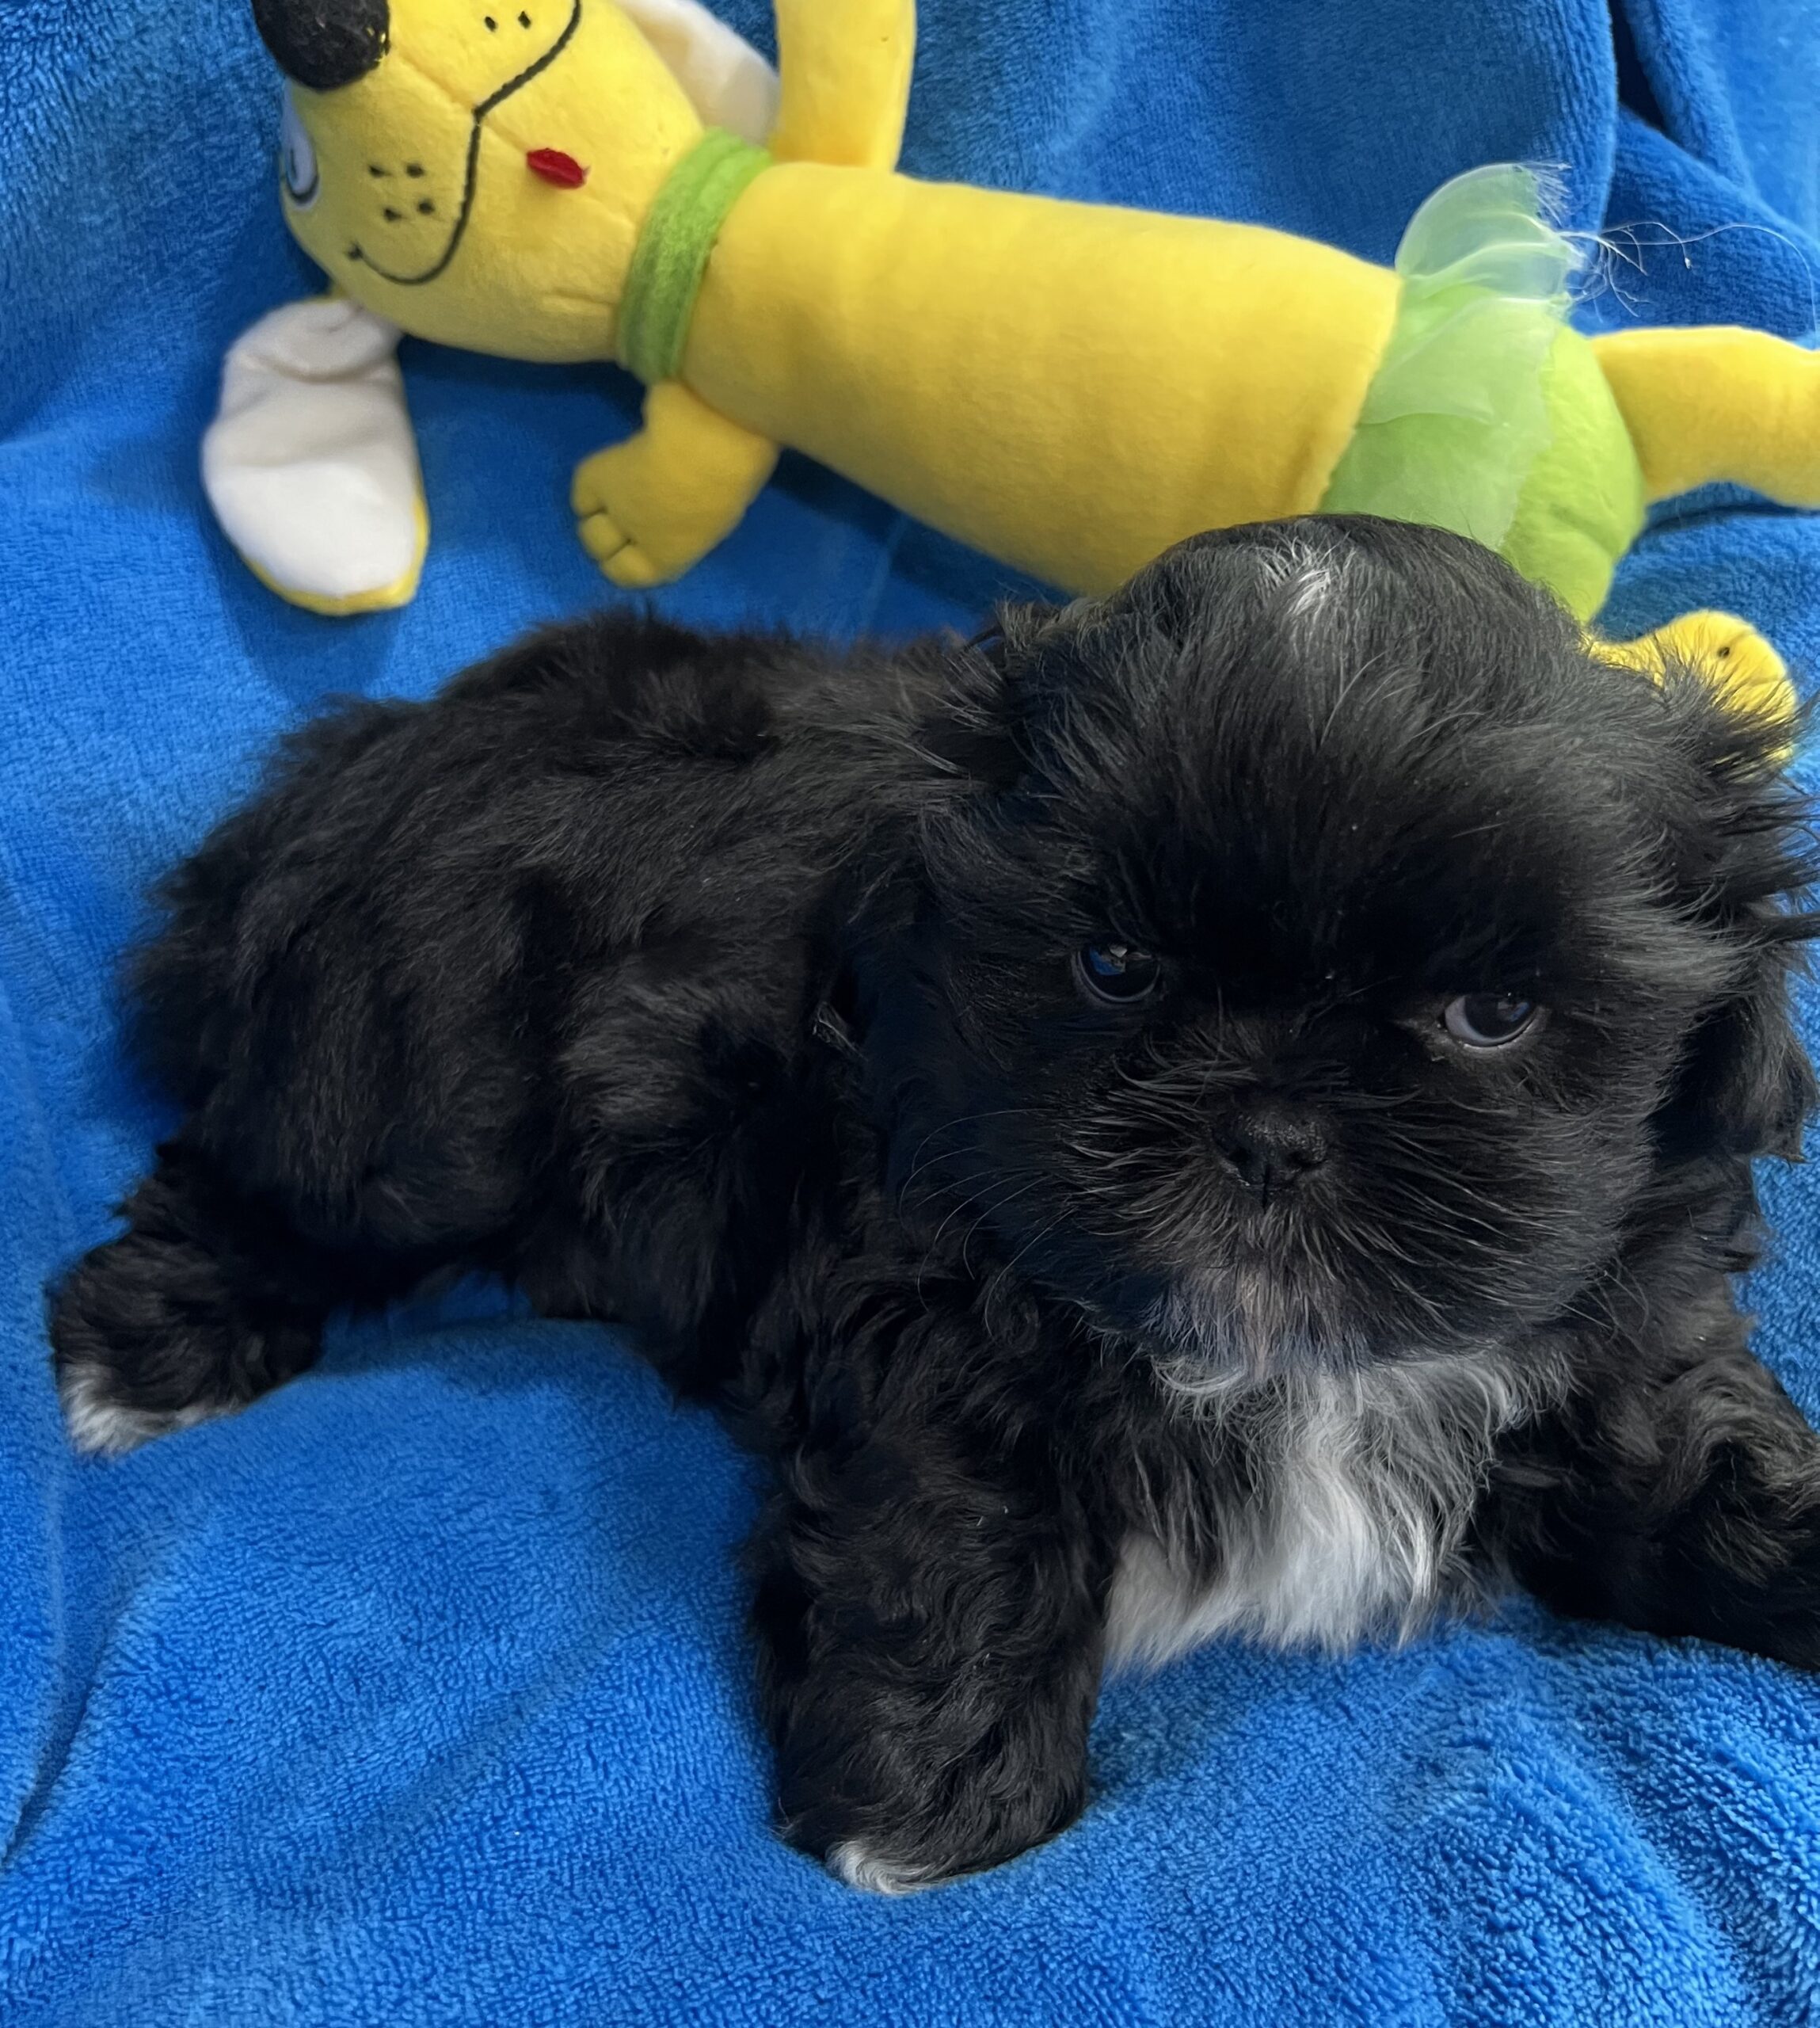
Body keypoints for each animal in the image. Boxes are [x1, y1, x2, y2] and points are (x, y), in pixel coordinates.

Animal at [51, 517, 1820, 1893]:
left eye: (1492, 1014)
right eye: (1110, 966)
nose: (1268, 1126)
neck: (1290, 1366)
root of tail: (368, 754)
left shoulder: (1619, 1341)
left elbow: (1697, 1465)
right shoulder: (927, 1308)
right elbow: (960, 1523)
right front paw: (928, 1802)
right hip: (429, 1070)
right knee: (271, 1172)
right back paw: (147, 1355)